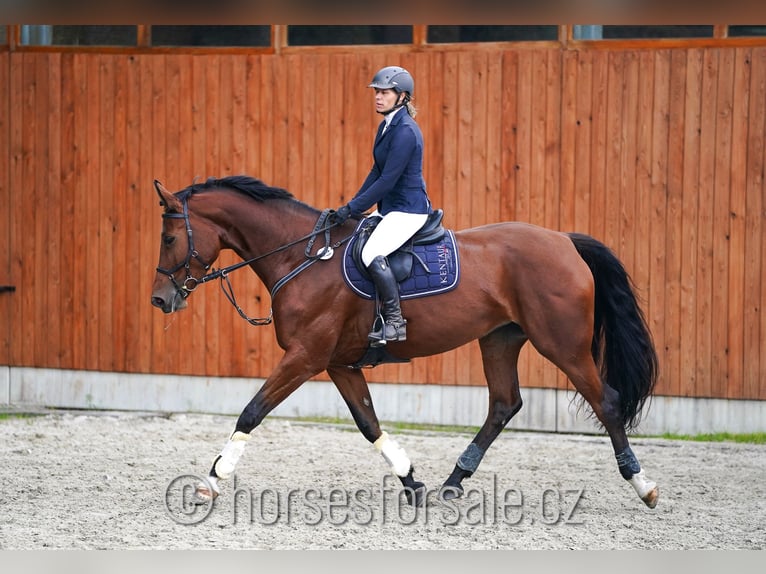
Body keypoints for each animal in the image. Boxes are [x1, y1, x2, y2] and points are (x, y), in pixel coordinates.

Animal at [150, 174, 660, 508]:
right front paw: (412, 483)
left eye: (170, 238)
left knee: (606, 401)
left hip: (562, 345)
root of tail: (564, 241)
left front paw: (212, 479)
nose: (160, 299)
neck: (305, 256)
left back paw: (644, 486)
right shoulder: (339, 363)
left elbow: (252, 411)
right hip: (499, 340)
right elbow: (369, 423)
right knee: (503, 404)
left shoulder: (305, 357)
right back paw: (453, 482)